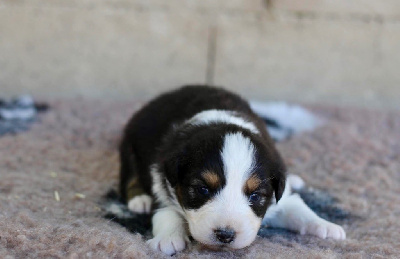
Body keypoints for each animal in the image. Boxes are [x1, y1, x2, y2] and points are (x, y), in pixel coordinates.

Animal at [119, 86, 346, 256]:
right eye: (203, 190)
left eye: (255, 195)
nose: (225, 235)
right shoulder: (160, 177)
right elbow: (166, 212)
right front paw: (167, 239)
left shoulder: (277, 195)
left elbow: (298, 209)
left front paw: (326, 226)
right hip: (129, 145)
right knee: (129, 178)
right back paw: (139, 200)